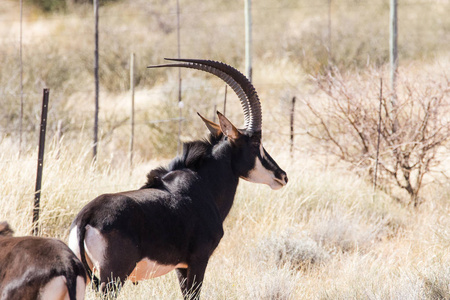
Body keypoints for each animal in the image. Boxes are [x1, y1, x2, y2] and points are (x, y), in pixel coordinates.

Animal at [69, 58, 288, 298]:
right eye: (256, 144)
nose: (282, 175)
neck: (203, 185)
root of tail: (86, 217)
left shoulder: (179, 267)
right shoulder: (198, 260)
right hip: (112, 279)